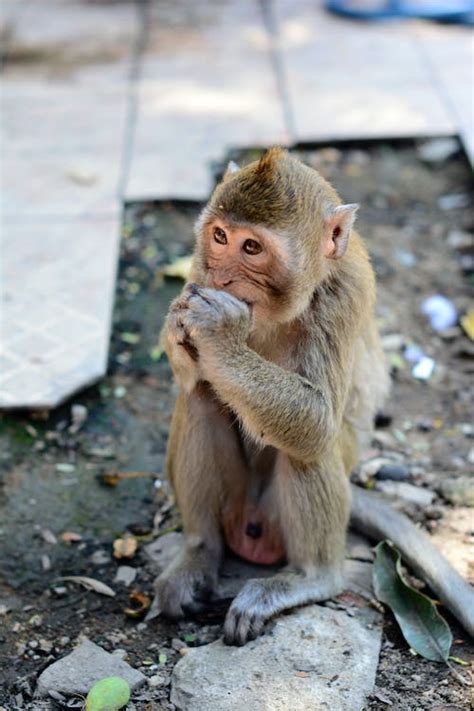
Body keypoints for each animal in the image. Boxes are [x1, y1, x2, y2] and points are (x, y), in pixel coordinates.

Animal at [152, 147, 474, 644]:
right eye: (220, 237)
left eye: (252, 248)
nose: (222, 279)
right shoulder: (195, 270)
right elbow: (193, 381)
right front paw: (178, 327)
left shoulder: (343, 297)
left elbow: (316, 420)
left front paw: (220, 335)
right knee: (201, 401)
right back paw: (199, 552)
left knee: (309, 449)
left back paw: (311, 577)